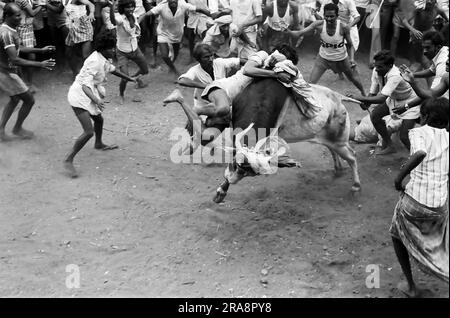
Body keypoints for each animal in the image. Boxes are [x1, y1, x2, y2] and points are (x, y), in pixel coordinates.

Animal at [165, 78, 362, 202]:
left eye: (248, 173)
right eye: (236, 165)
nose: (231, 178)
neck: (261, 98)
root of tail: (338, 98)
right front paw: (220, 192)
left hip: (340, 140)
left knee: (352, 156)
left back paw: (356, 186)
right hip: (327, 138)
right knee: (334, 151)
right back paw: (338, 169)